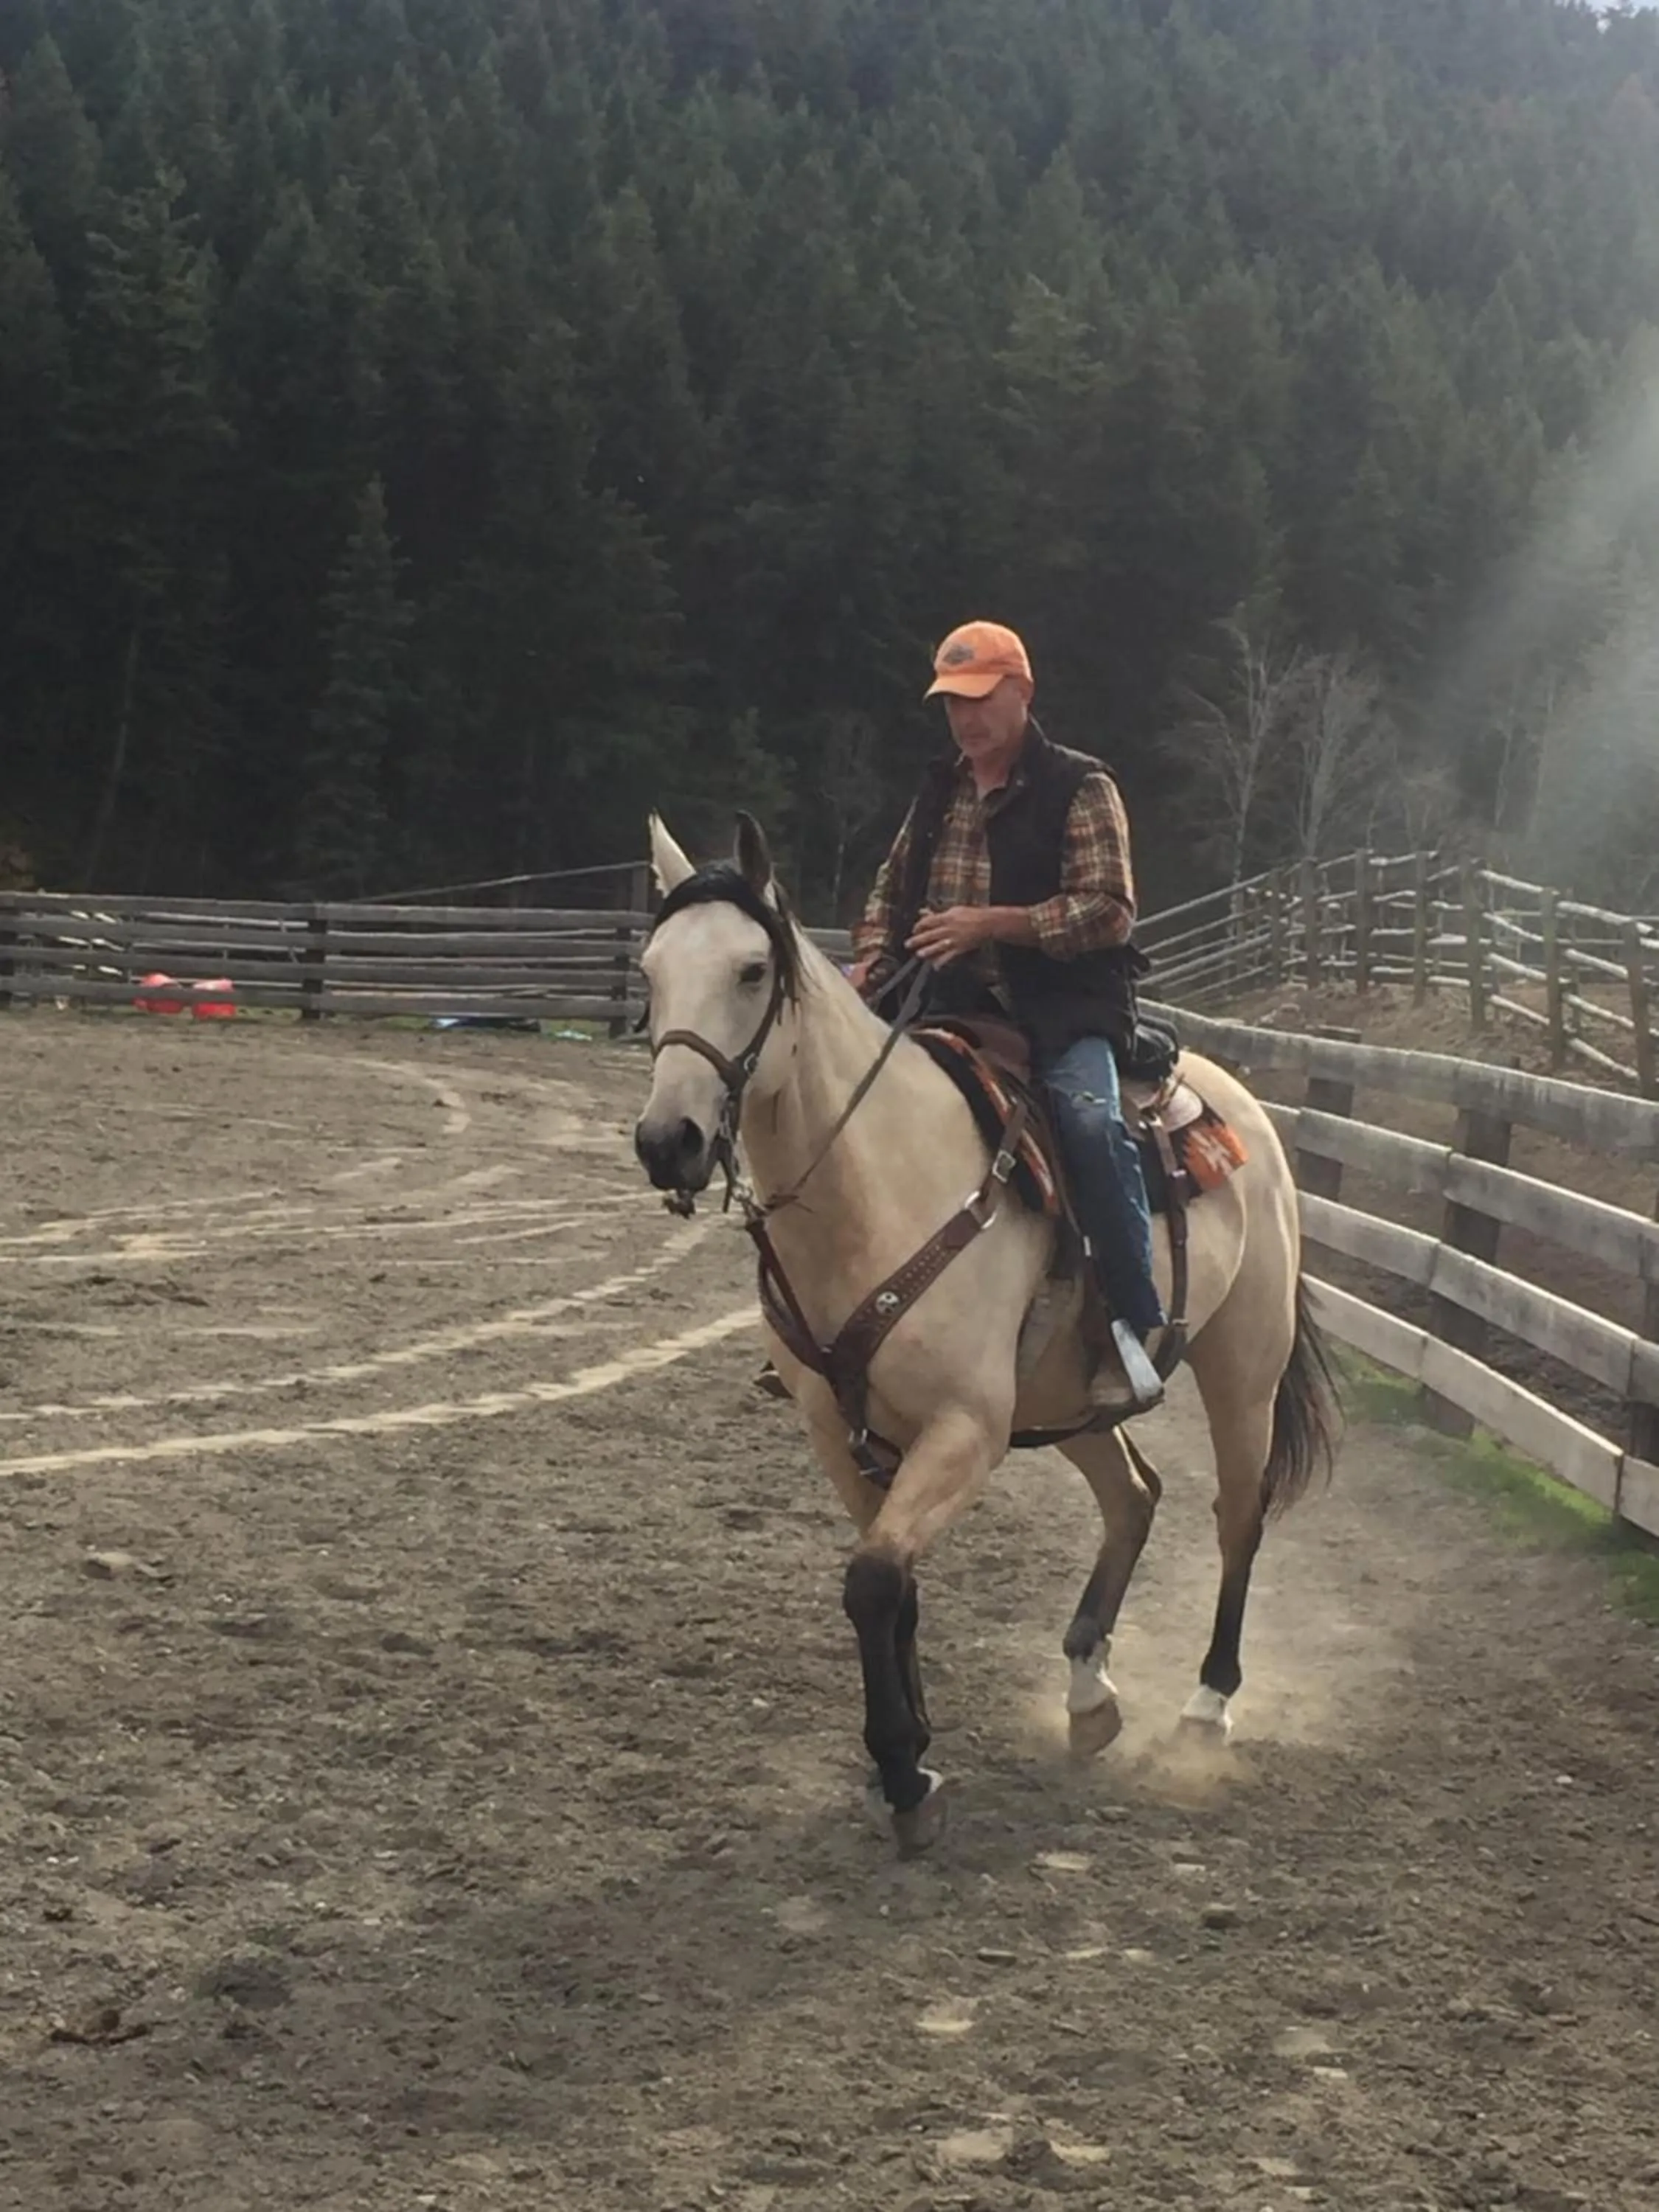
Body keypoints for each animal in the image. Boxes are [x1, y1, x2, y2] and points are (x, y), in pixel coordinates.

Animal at [633, 811, 1340, 1854]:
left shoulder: (967, 1430)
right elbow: (893, 1582)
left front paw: (903, 1771)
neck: (876, 1186)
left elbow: (873, 1582)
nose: (666, 1141)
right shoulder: (840, 1434)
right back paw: (1088, 1691)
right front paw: (913, 1750)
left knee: (1237, 1515)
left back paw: (1207, 1706)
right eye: (649, 970)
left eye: (752, 970)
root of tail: (1247, 1109)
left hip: (1241, 1369)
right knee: (1134, 1495)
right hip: (1070, 1398)